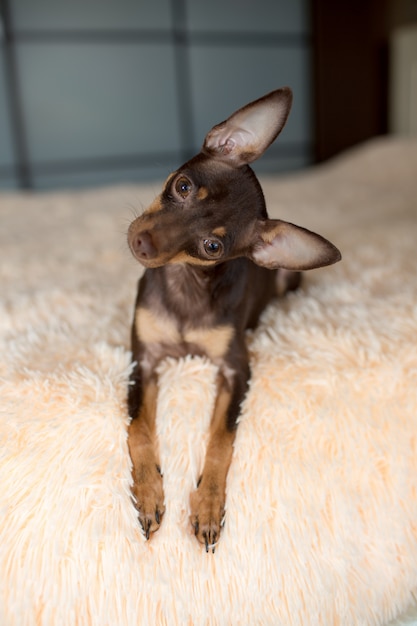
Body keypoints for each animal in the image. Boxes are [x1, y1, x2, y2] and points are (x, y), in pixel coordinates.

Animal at [125, 86, 340, 552]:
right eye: (182, 186)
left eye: (212, 248)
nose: (141, 243)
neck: (187, 284)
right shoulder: (143, 360)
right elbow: (139, 430)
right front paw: (148, 493)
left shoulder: (236, 369)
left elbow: (222, 439)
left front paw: (207, 504)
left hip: (287, 280)